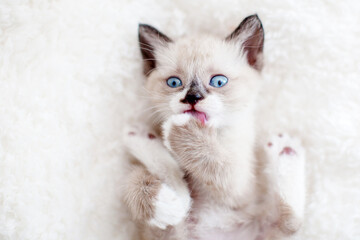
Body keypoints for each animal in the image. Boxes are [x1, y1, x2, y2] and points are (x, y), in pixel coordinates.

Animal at [122, 15, 306, 240]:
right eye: (174, 82)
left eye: (218, 81)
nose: (192, 97)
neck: (209, 133)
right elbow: (136, 179)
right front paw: (162, 203)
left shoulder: (240, 187)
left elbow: (216, 164)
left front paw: (183, 132)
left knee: (290, 223)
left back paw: (286, 150)